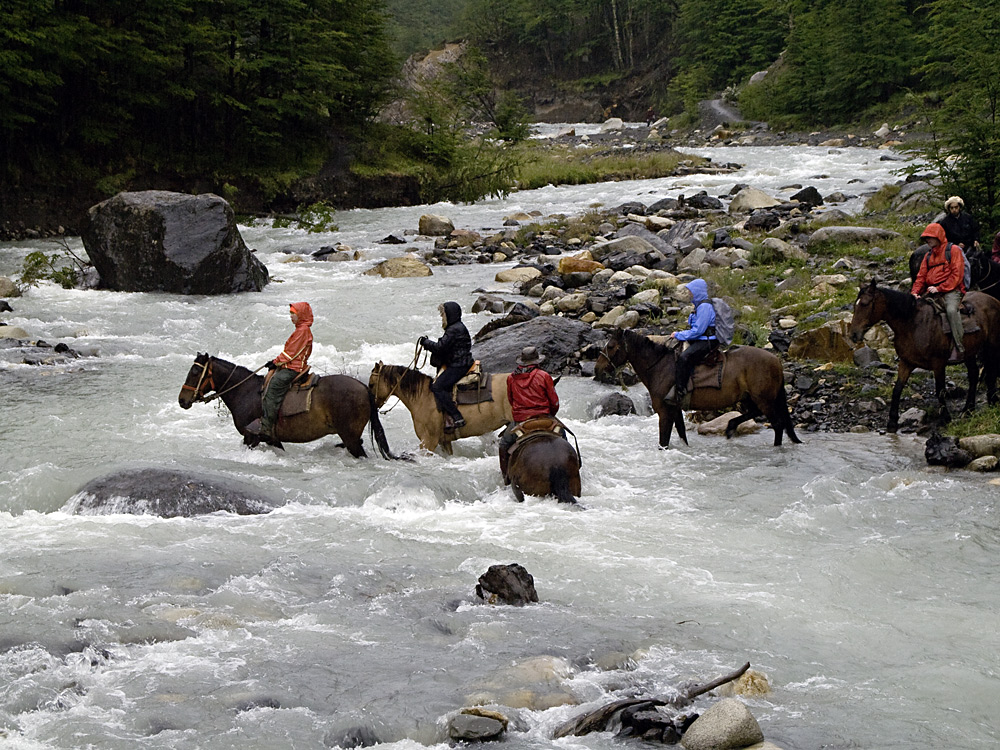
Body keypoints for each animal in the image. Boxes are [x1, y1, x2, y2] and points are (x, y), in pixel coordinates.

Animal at [178, 352, 396, 458]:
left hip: (350, 438)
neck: (245, 392)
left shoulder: (251, 437)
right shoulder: (272, 439)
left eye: (195, 372)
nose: (182, 400)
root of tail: (364, 388)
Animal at [592, 328, 796, 446]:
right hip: (751, 398)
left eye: (611, 346)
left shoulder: (664, 411)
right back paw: (730, 427)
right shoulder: (675, 410)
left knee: (777, 425)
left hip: (764, 399)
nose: (597, 369)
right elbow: (682, 433)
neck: (660, 367)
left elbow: (664, 441)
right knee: (755, 414)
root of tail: (775, 360)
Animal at [848, 282, 1000, 434]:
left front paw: (945, 418)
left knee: (990, 373)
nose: (853, 334)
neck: (912, 324)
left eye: (865, 304)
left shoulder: (938, 364)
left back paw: (991, 401)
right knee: (974, 375)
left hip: (991, 347)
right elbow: (897, 389)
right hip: (969, 353)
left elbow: (940, 391)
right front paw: (892, 422)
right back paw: (968, 410)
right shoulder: (906, 362)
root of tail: (994, 300)